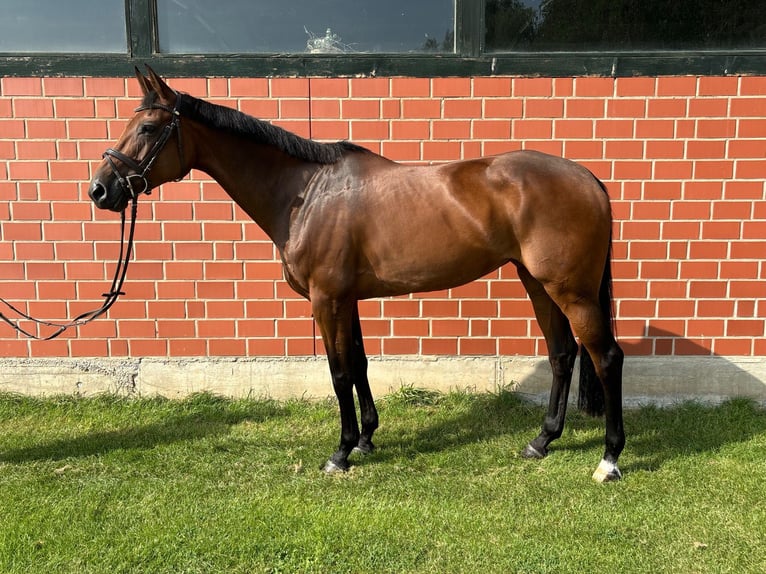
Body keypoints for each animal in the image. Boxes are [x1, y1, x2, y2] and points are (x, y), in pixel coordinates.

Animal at [90, 65, 628, 484]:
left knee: (605, 357)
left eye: (148, 127)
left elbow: (339, 371)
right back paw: (541, 441)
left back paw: (609, 460)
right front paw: (368, 437)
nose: (100, 190)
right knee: (562, 355)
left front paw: (341, 452)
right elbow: (361, 364)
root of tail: (588, 178)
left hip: (571, 291)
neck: (305, 193)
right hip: (538, 283)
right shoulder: (346, 299)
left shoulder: (326, 300)